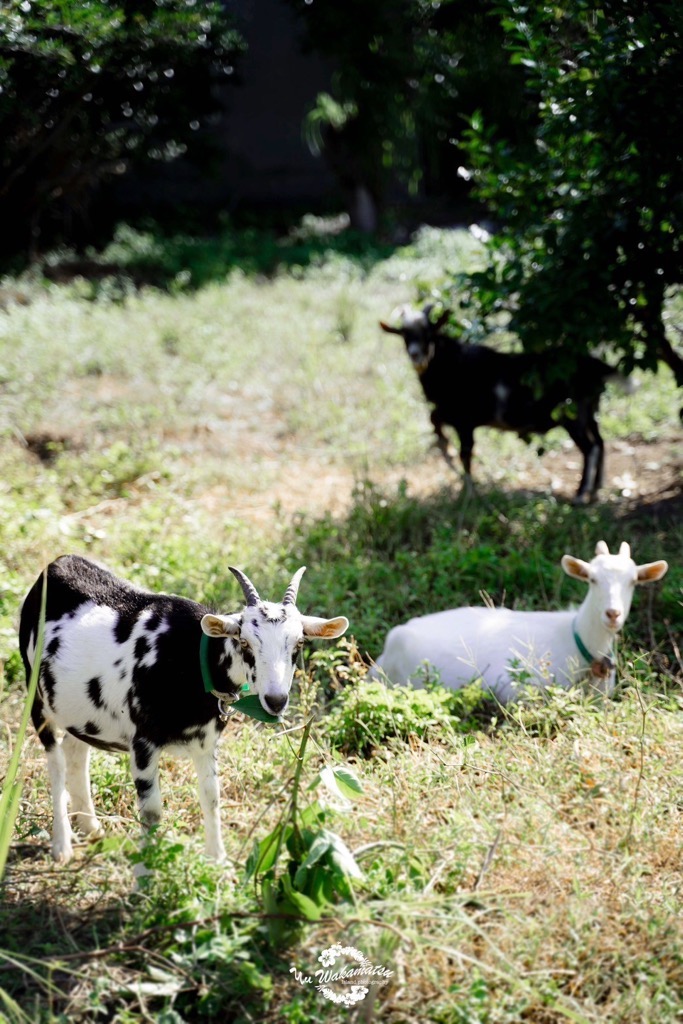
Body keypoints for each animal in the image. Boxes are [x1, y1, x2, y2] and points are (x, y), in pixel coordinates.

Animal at [18, 557, 350, 868]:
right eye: (244, 642)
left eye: (299, 643)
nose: (276, 700)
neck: (189, 659)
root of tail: (56, 564)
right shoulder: (143, 744)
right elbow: (152, 813)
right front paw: (146, 876)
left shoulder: (205, 743)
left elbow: (211, 796)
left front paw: (217, 860)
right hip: (37, 697)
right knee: (56, 762)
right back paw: (62, 845)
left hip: (77, 710)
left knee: (76, 752)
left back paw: (90, 826)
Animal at [374, 544, 667, 704]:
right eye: (592, 579)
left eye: (633, 581)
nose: (612, 614)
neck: (576, 641)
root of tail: (396, 637)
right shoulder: (514, 687)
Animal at [378, 301, 626, 501]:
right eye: (404, 335)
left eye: (429, 333)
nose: (416, 355)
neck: (454, 364)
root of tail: (595, 367)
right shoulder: (452, 415)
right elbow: (435, 421)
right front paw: (445, 449)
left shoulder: (464, 420)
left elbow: (464, 453)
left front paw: (468, 491)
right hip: (591, 412)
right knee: (600, 442)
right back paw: (596, 489)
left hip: (573, 416)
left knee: (589, 448)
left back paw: (582, 494)